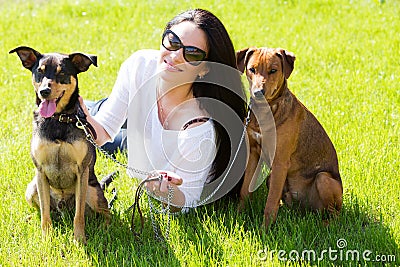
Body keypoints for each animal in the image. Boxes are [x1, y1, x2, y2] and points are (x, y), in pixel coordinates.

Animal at [10, 47, 110, 244]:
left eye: (61, 73)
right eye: (39, 72)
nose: (44, 91)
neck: (58, 119)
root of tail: (63, 208)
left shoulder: (82, 170)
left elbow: (79, 215)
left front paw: (79, 239)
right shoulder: (40, 171)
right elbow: (44, 213)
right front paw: (46, 238)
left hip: (92, 192)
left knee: (107, 213)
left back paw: (105, 228)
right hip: (31, 189)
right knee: (44, 210)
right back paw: (31, 218)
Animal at [238, 47, 344, 228]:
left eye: (273, 70)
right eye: (252, 69)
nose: (258, 93)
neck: (267, 111)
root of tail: (306, 208)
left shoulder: (280, 162)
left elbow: (270, 203)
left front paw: (264, 230)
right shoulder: (253, 154)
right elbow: (245, 190)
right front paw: (238, 216)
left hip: (323, 179)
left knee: (335, 214)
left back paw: (323, 224)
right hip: (272, 179)